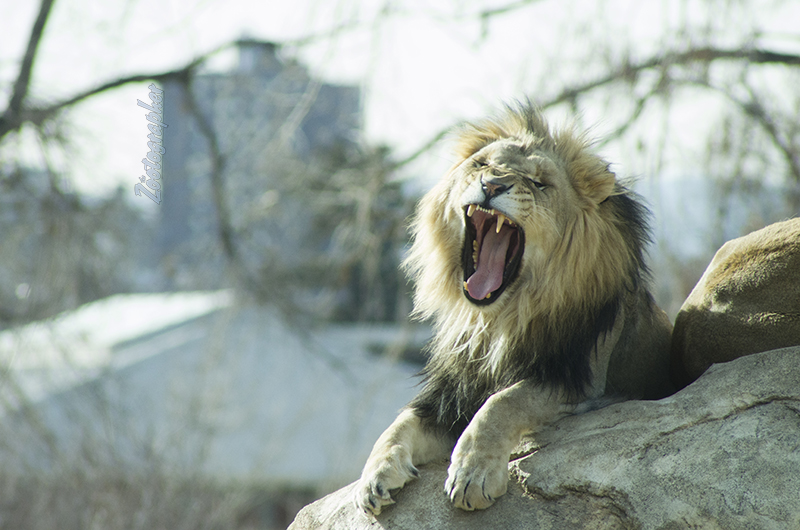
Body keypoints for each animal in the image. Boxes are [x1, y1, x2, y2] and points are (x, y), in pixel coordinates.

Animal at [354, 102, 674, 516]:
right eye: (481, 165)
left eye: (539, 183)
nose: (493, 185)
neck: (497, 321)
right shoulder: (450, 397)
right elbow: (397, 425)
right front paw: (374, 476)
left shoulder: (579, 379)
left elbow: (503, 402)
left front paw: (473, 475)